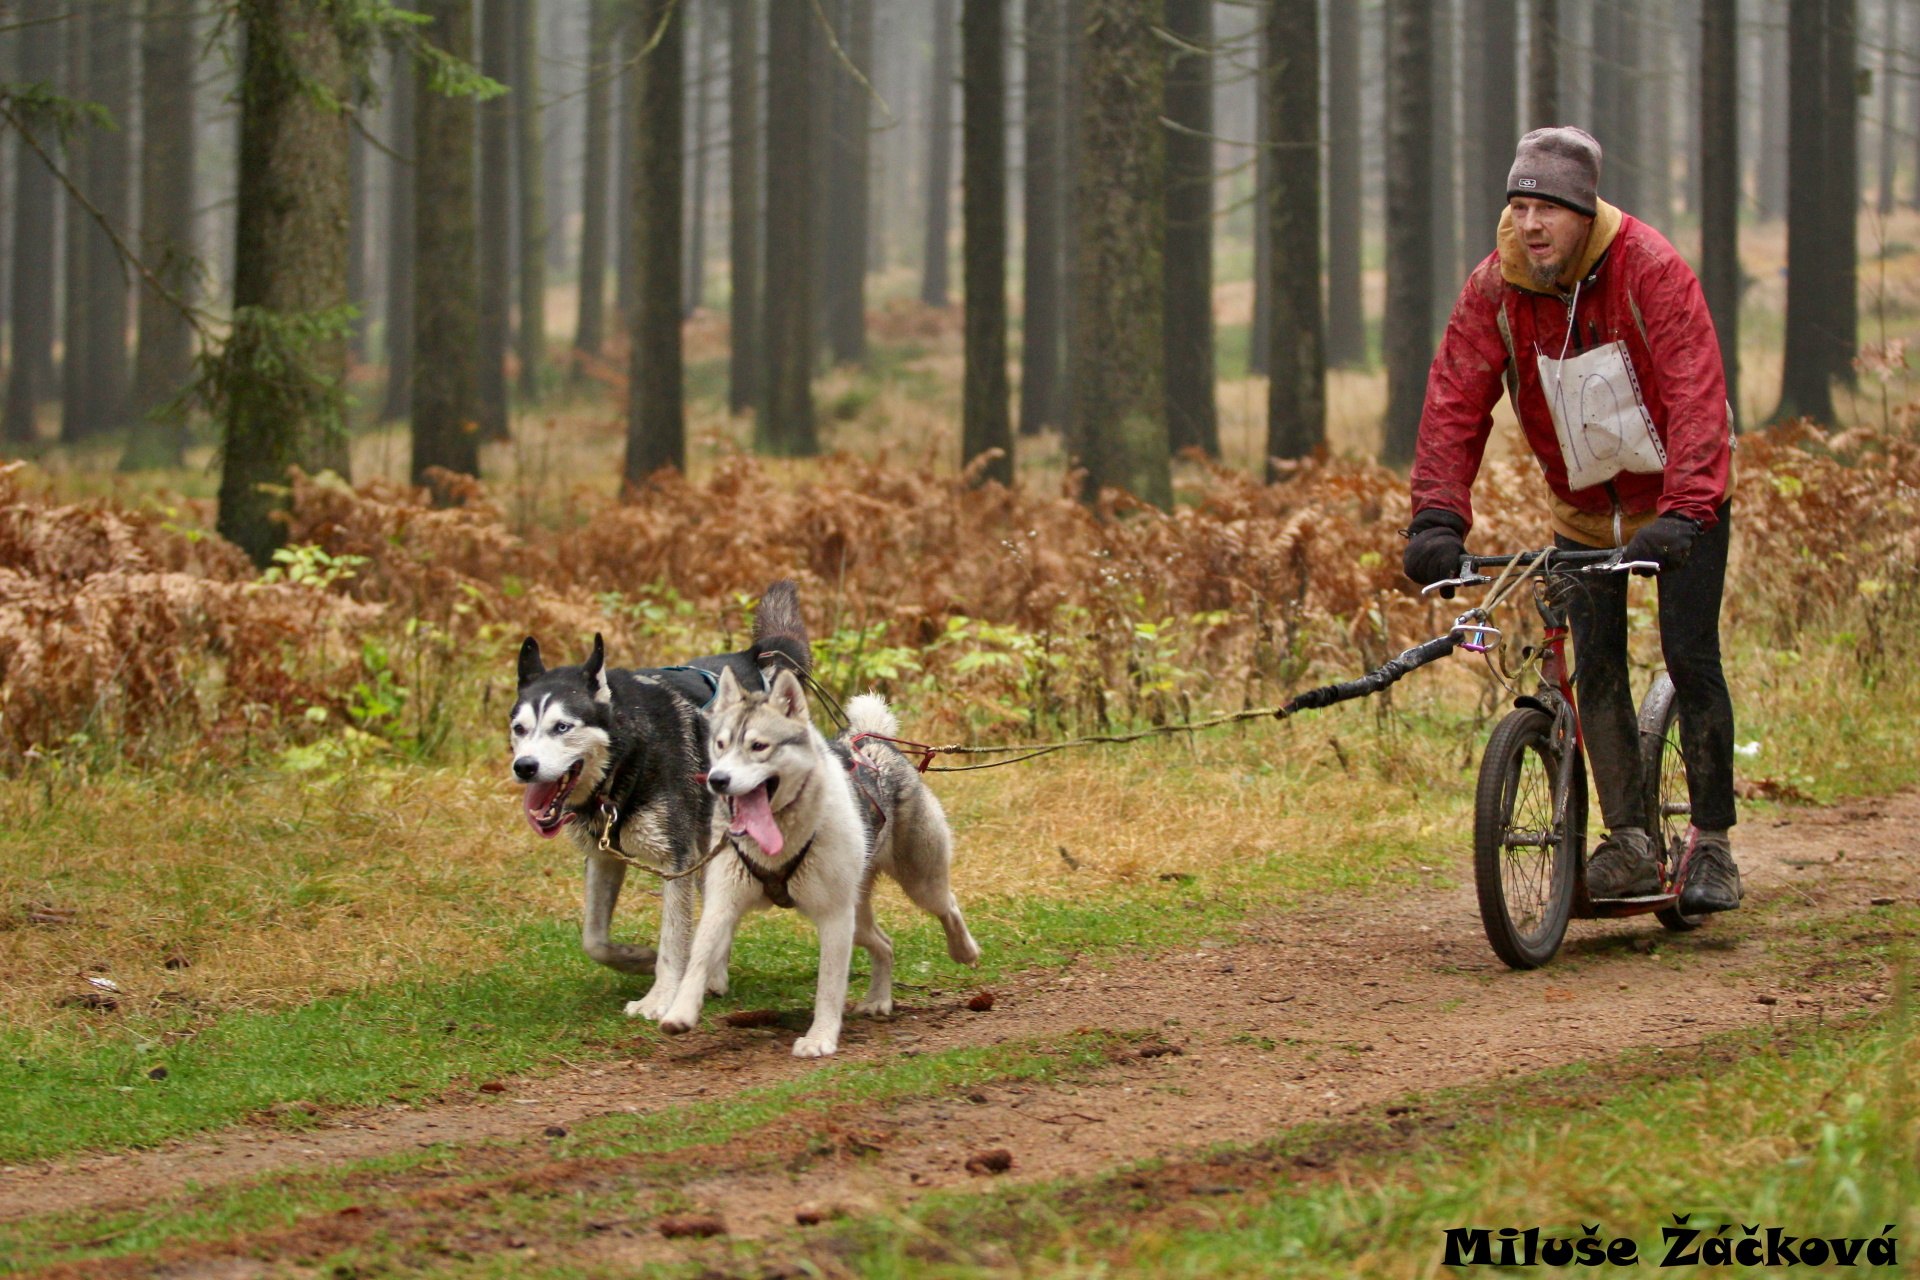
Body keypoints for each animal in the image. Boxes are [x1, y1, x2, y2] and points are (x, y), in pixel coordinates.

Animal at [511, 581, 811, 1019]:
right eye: (519, 728)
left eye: (562, 727)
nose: (524, 767)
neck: (628, 758)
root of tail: (752, 656)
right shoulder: (603, 857)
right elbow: (594, 940)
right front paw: (637, 958)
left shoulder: (676, 860)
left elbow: (673, 937)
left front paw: (659, 997)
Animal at [642, 665, 981, 1057]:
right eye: (721, 745)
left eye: (759, 746)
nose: (718, 780)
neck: (779, 843)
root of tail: (871, 742)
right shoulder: (722, 903)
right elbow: (698, 958)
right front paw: (680, 1011)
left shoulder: (834, 918)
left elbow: (829, 984)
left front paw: (820, 1036)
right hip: (857, 917)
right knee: (884, 944)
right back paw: (878, 999)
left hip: (917, 884)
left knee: (948, 906)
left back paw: (964, 950)